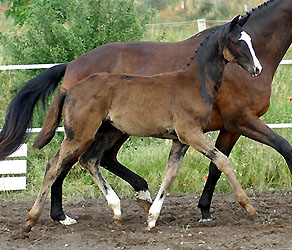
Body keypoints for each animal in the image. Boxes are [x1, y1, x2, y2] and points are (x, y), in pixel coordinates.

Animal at [0, 0, 290, 225]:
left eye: (251, 41)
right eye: (238, 42)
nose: (256, 69)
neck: (195, 80)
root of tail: (71, 71)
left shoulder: (207, 133)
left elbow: (198, 169)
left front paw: (192, 212)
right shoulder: (234, 122)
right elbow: (258, 153)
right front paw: (243, 209)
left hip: (109, 130)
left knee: (93, 160)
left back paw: (128, 202)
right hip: (84, 132)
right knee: (60, 164)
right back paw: (52, 217)